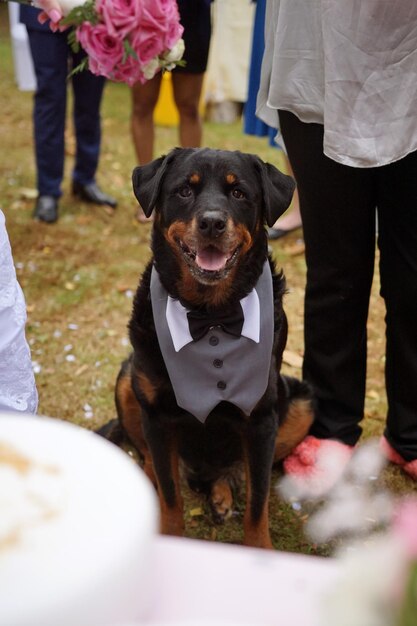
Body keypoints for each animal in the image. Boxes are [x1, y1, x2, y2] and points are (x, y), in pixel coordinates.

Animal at [103, 146, 312, 544]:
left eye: (239, 193)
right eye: (185, 190)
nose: (212, 223)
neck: (210, 315)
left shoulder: (261, 419)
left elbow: (258, 504)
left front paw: (259, 548)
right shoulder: (157, 414)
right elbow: (170, 497)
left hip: (301, 402)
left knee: (236, 471)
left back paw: (220, 492)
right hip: (127, 379)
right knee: (153, 462)